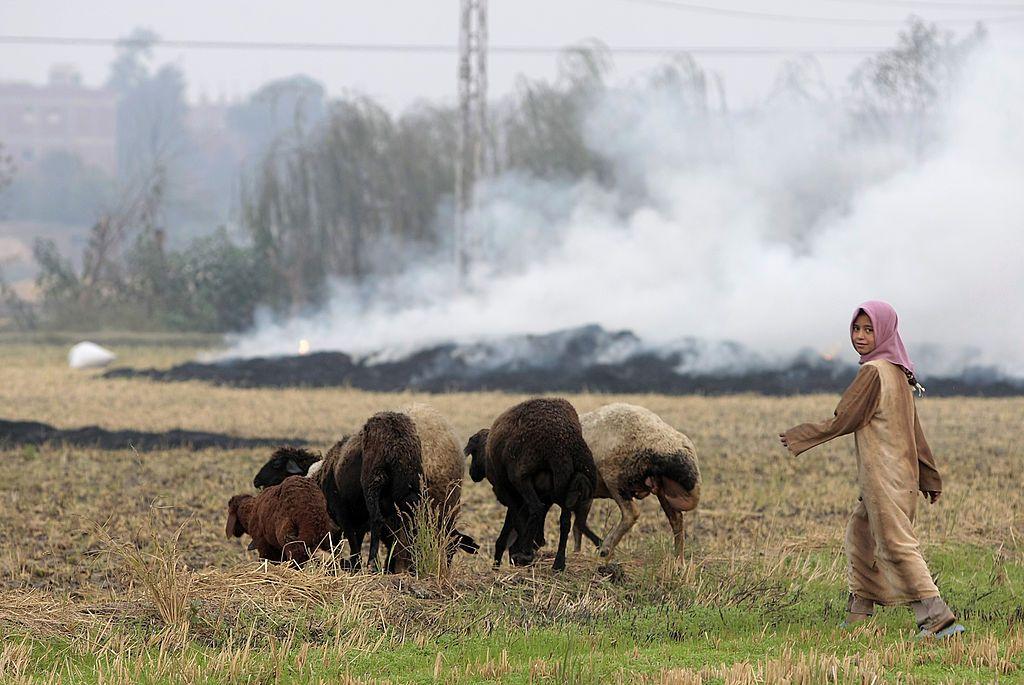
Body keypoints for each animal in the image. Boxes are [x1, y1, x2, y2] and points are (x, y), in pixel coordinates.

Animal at [464, 395, 598, 573]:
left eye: (473, 452)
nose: (472, 474)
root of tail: (562, 447)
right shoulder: (545, 496)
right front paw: (533, 544)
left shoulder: (510, 495)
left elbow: (515, 525)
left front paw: (518, 553)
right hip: (564, 483)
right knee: (565, 521)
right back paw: (558, 564)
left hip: (522, 477)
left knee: (537, 508)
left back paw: (526, 553)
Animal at [577, 403, 704, 557]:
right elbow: (577, 525)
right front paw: (575, 553)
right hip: (661, 487)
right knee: (677, 520)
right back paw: (678, 560)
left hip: (615, 476)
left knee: (632, 513)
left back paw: (606, 548)